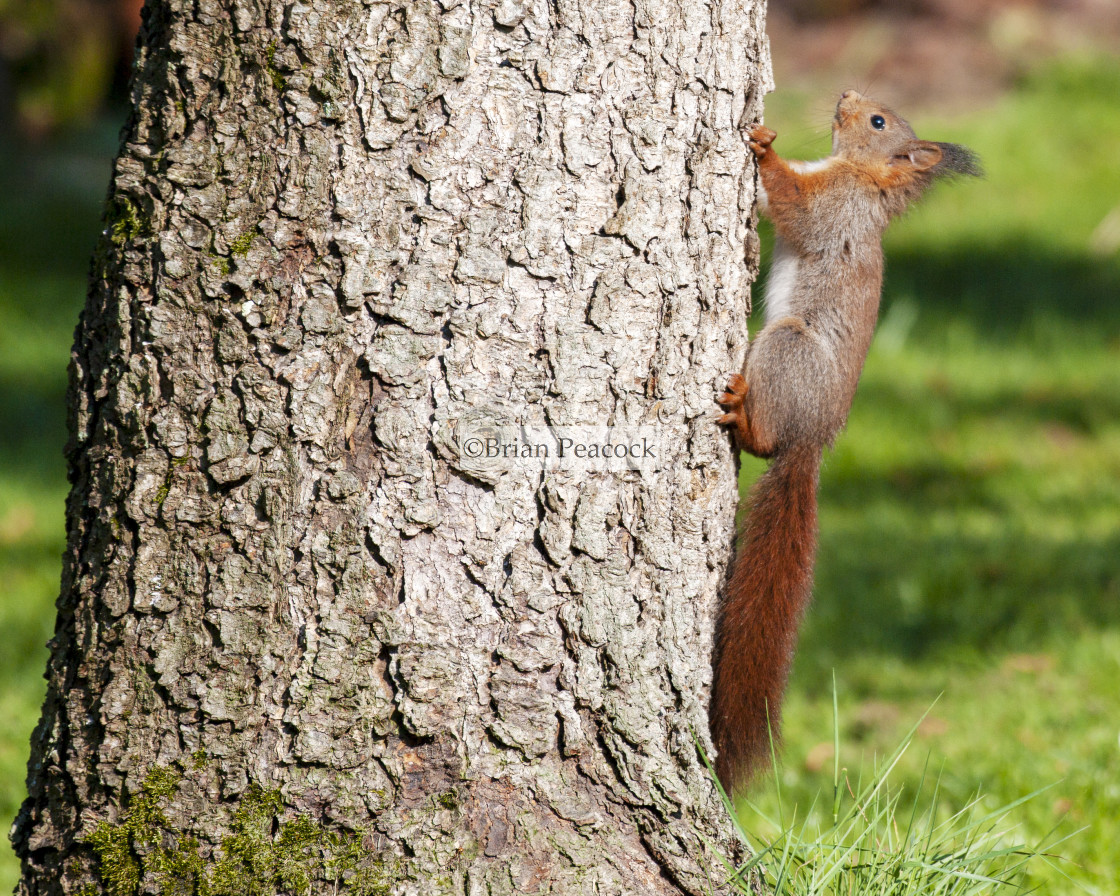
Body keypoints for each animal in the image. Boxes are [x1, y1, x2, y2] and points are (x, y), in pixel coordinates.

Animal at [707, 92, 981, 792]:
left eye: (879, 122)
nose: (846, 96)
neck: (858, 174)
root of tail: (813, 439)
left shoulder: (835, 206)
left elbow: (794, 205)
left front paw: (765, 147)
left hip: (788, 345)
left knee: (764, 440)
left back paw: (742, 415)